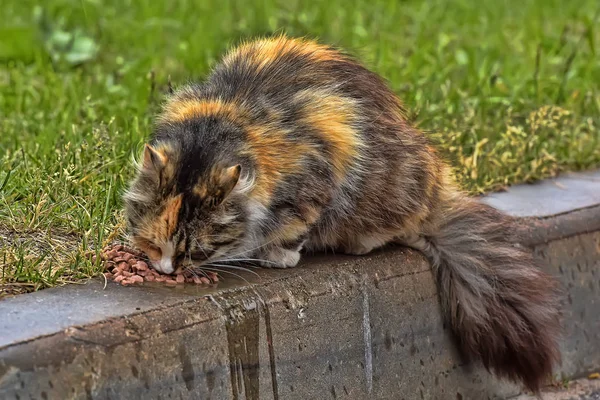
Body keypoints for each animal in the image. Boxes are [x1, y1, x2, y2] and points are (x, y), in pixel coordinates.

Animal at [123, 35, 564, 394]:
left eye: (197, 251)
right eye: (153, 244)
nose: (166, 270)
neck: (221, 126)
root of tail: (436, 189)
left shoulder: (321, 167)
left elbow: (295, 224)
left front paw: (278, 255)